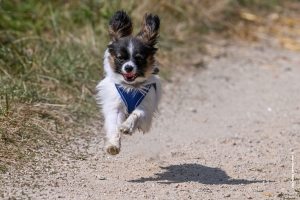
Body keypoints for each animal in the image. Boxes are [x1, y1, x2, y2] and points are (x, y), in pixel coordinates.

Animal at [95, 10, 162, 155]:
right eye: (121, 58)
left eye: (139, 59)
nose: (128, 67)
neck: (131, 87)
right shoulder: (115, 107)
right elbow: (114, 127)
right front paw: (113, 145)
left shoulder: (146, 109)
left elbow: (136, 113)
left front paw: (126, 126)